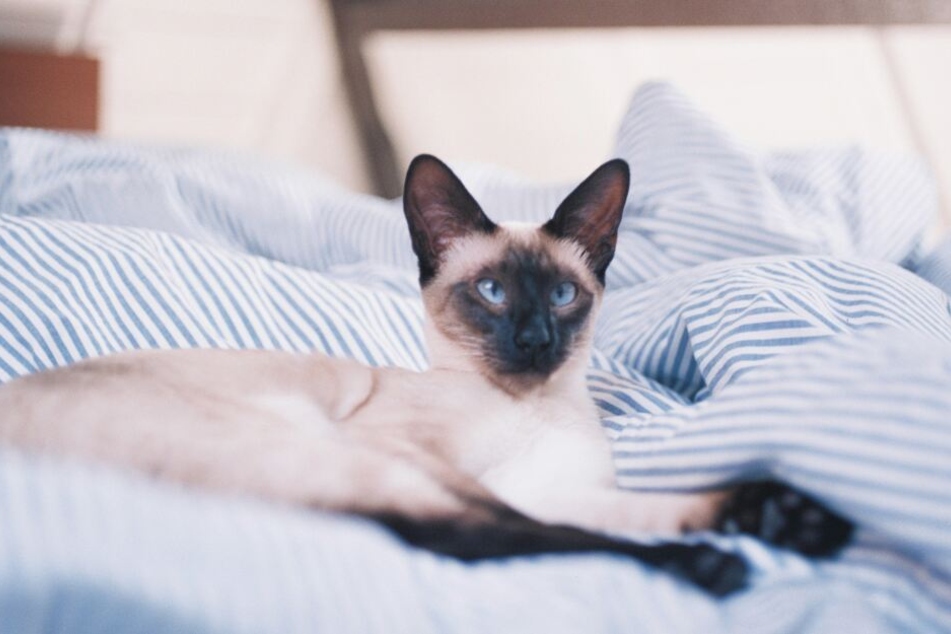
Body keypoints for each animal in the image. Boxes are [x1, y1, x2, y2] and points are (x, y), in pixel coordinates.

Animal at [0, 152, 856, 592]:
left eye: (559, 294)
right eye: (491, 292)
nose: (534, 339)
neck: (529, 407)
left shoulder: (554, 483)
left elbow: (639, 505)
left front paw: (773, 515)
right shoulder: (422, 457)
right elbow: (548, 527)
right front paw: (729, 543)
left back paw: (787, 521)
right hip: (342, 457)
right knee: (477, 538)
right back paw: (713, 565)